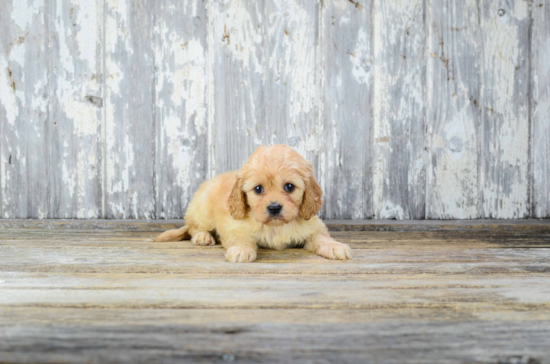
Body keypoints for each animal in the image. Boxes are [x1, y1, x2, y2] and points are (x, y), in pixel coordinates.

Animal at [155, 144, 354, 264]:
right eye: (258, 189)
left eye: (289, 187)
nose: (274, 207)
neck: (276, 227)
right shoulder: (234, 227)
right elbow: (243, 239)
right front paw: (242, 251)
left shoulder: (314, 226)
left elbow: (322, 237)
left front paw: (334, 246)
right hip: (202, 210)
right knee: (192, 227)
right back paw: (203, 236)